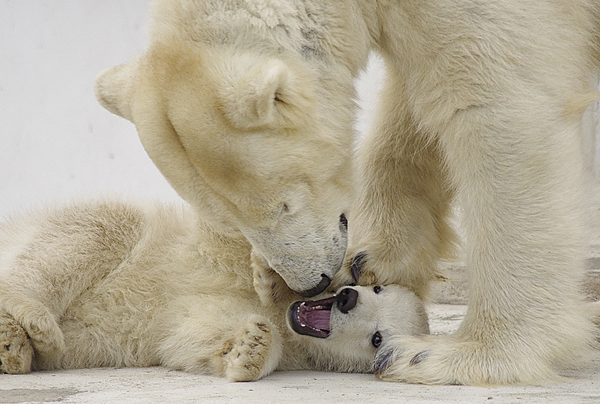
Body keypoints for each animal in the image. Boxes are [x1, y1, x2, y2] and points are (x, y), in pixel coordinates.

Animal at [96, 0, 600, 386]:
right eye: (229, 220)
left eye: (281, 206)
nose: (312, 284)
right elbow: (412, 110)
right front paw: (369, 257)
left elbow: (499, 110)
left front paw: (450, 355)